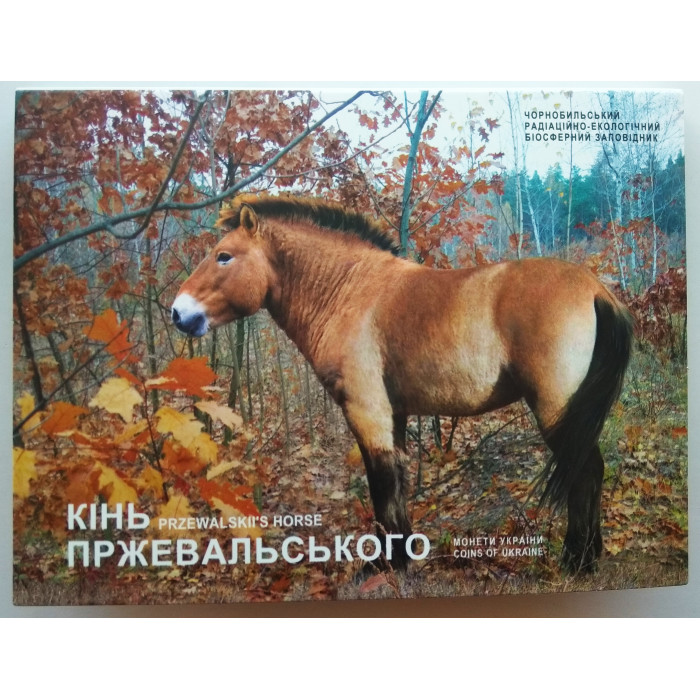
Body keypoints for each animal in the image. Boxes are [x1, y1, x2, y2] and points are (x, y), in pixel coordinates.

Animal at [171, 194, 633, 574]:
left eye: (224, 256)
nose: (179, 312)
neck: (349, 292)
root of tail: (596, 290)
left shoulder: (367, 411)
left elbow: (381, 483)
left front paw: (385, 565)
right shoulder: (392, 414)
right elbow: (396, 481)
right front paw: (401, 557)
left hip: (557, 410)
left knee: (584, 469)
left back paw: (577, 561)